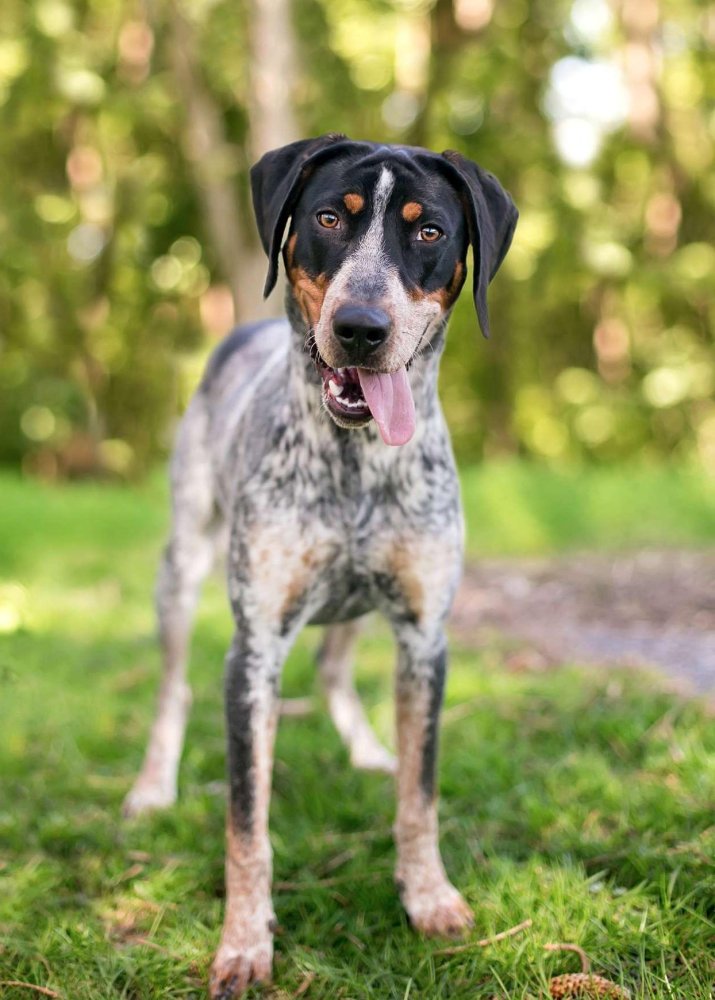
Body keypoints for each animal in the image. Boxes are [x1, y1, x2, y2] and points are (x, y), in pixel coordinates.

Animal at [121, 135, 516, 1000]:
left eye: (428, 231)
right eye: (331, 218)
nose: (361, 328)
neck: (355, 461)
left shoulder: (423, 637)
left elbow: (419, 794)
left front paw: (428, 896)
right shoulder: (255, 650)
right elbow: (246, 824)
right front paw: (242, 944)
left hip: (364, 608)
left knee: (337, 671)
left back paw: (369, 749)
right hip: (180, 567)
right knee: (171, 688)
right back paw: (151, 786)